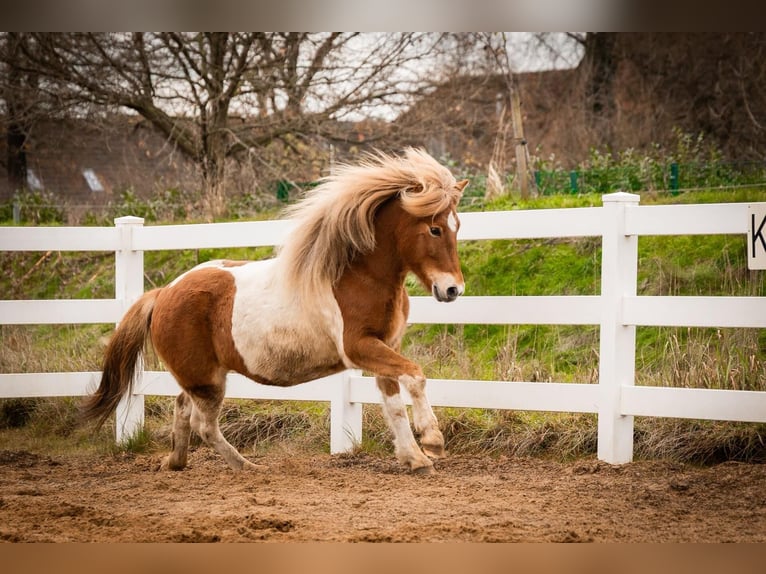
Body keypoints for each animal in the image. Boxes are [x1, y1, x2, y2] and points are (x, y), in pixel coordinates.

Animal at [82, 148, 468, 474]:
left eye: (457, 226)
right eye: (434, 229)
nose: (453, 290)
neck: (358, 276)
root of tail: (163, 293)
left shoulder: (385, 347)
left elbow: (393, 403)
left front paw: (415, 459)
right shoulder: (359, 347)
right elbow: (415, 376)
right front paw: (432, 441)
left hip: (201, 377)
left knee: (182, 408)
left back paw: (176, 462)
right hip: (207, 381)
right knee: (203, 426)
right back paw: (246, 467)